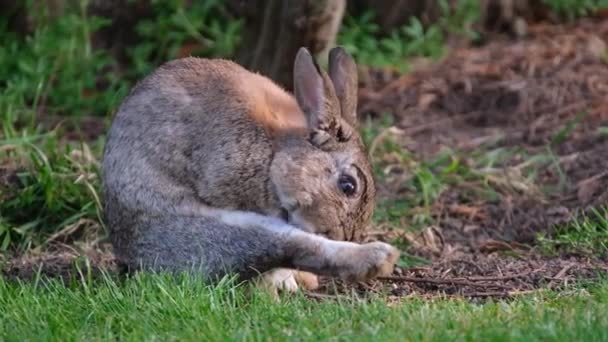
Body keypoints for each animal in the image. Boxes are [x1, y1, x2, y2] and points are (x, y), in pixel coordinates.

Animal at [102, 44, 402, 292]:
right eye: (348, 186)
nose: (342, 235)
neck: (276, 154)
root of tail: (130, 255)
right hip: (204, 233)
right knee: (287, 246)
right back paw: (379, 257)